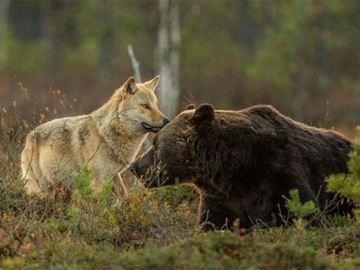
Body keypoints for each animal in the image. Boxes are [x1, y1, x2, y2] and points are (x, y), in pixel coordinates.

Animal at [129, 103, 352, 230]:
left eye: (155, 144)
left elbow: (306, 215)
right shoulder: (221, 200)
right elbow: (211, 225)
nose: (134, 166)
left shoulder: (280, 174)